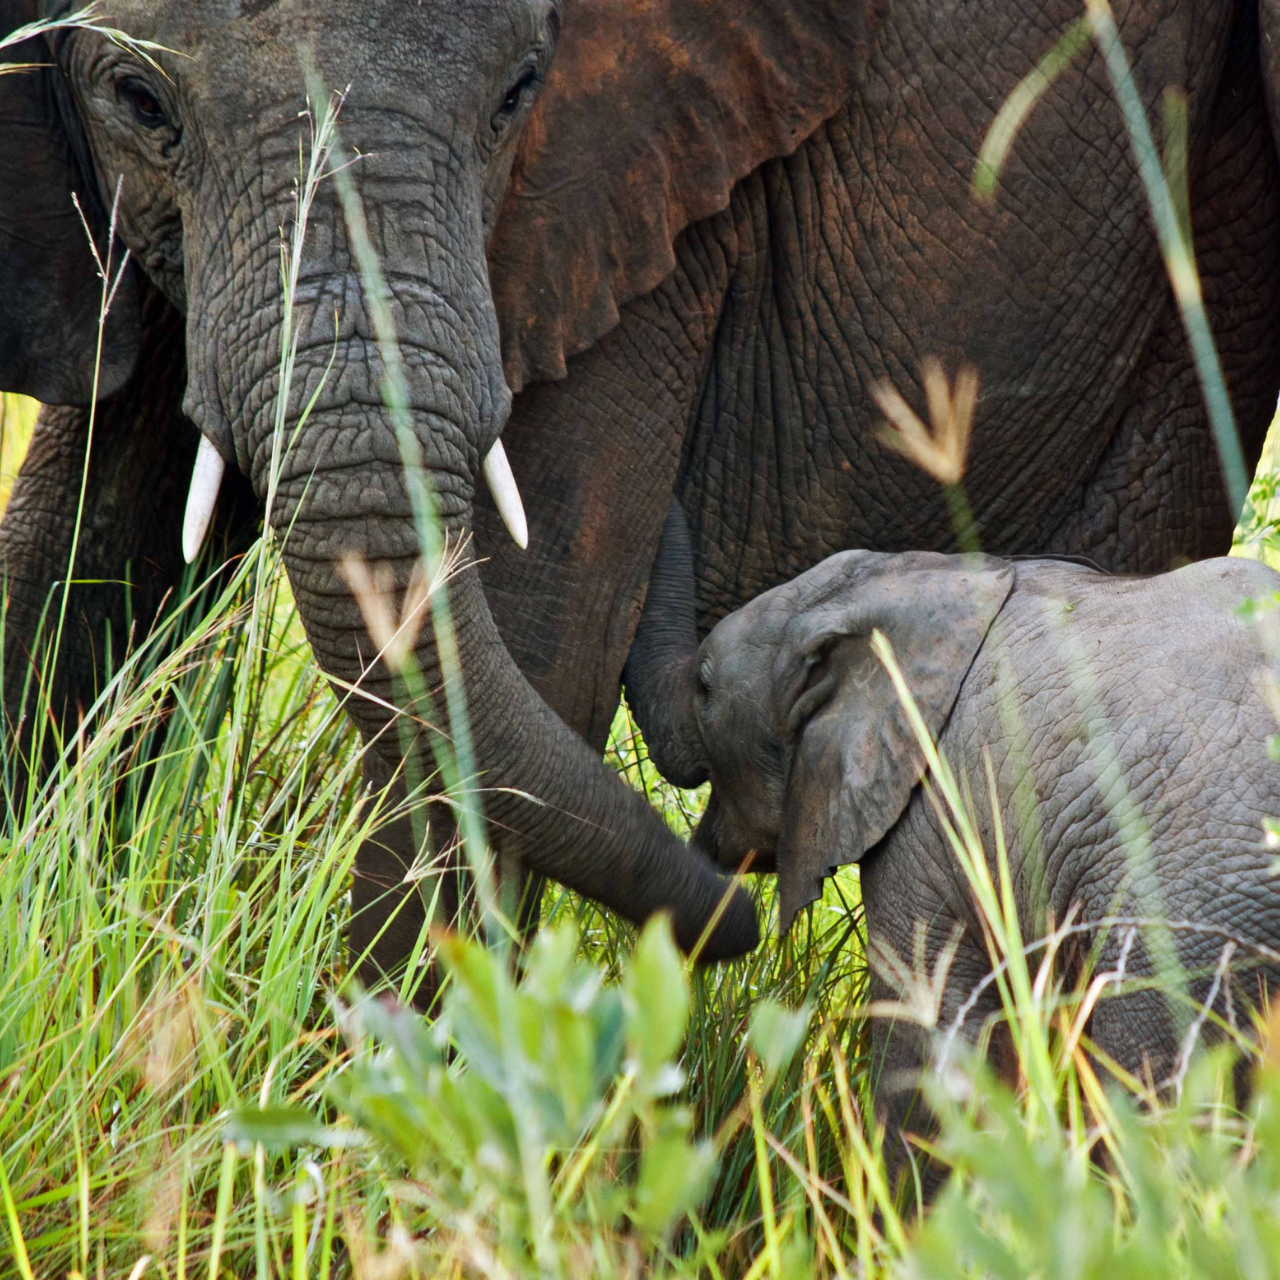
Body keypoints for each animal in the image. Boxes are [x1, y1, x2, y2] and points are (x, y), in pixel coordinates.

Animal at [0, 0, 1274, 977]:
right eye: (138, 100)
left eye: (518, 93)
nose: (737, 918)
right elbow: (71, 562)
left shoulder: (627, 166)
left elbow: (535, 640)